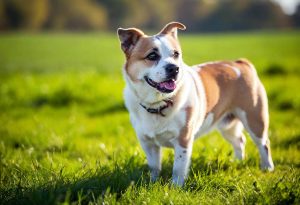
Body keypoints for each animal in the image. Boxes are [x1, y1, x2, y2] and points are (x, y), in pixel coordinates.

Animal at [116, 22, 274, 186]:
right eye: (152, 56)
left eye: (176, 54)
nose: (174, 68)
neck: (158, 104)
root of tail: (241, 64)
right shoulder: (148, 143)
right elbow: (154, 167)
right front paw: (153, 183)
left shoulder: (183, 141)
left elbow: (178, 168)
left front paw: (175, 187)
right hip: (227, 124)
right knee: (240, 141)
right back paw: (238, 162)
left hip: (255, 119)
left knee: (264, 143)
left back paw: (267, 168)